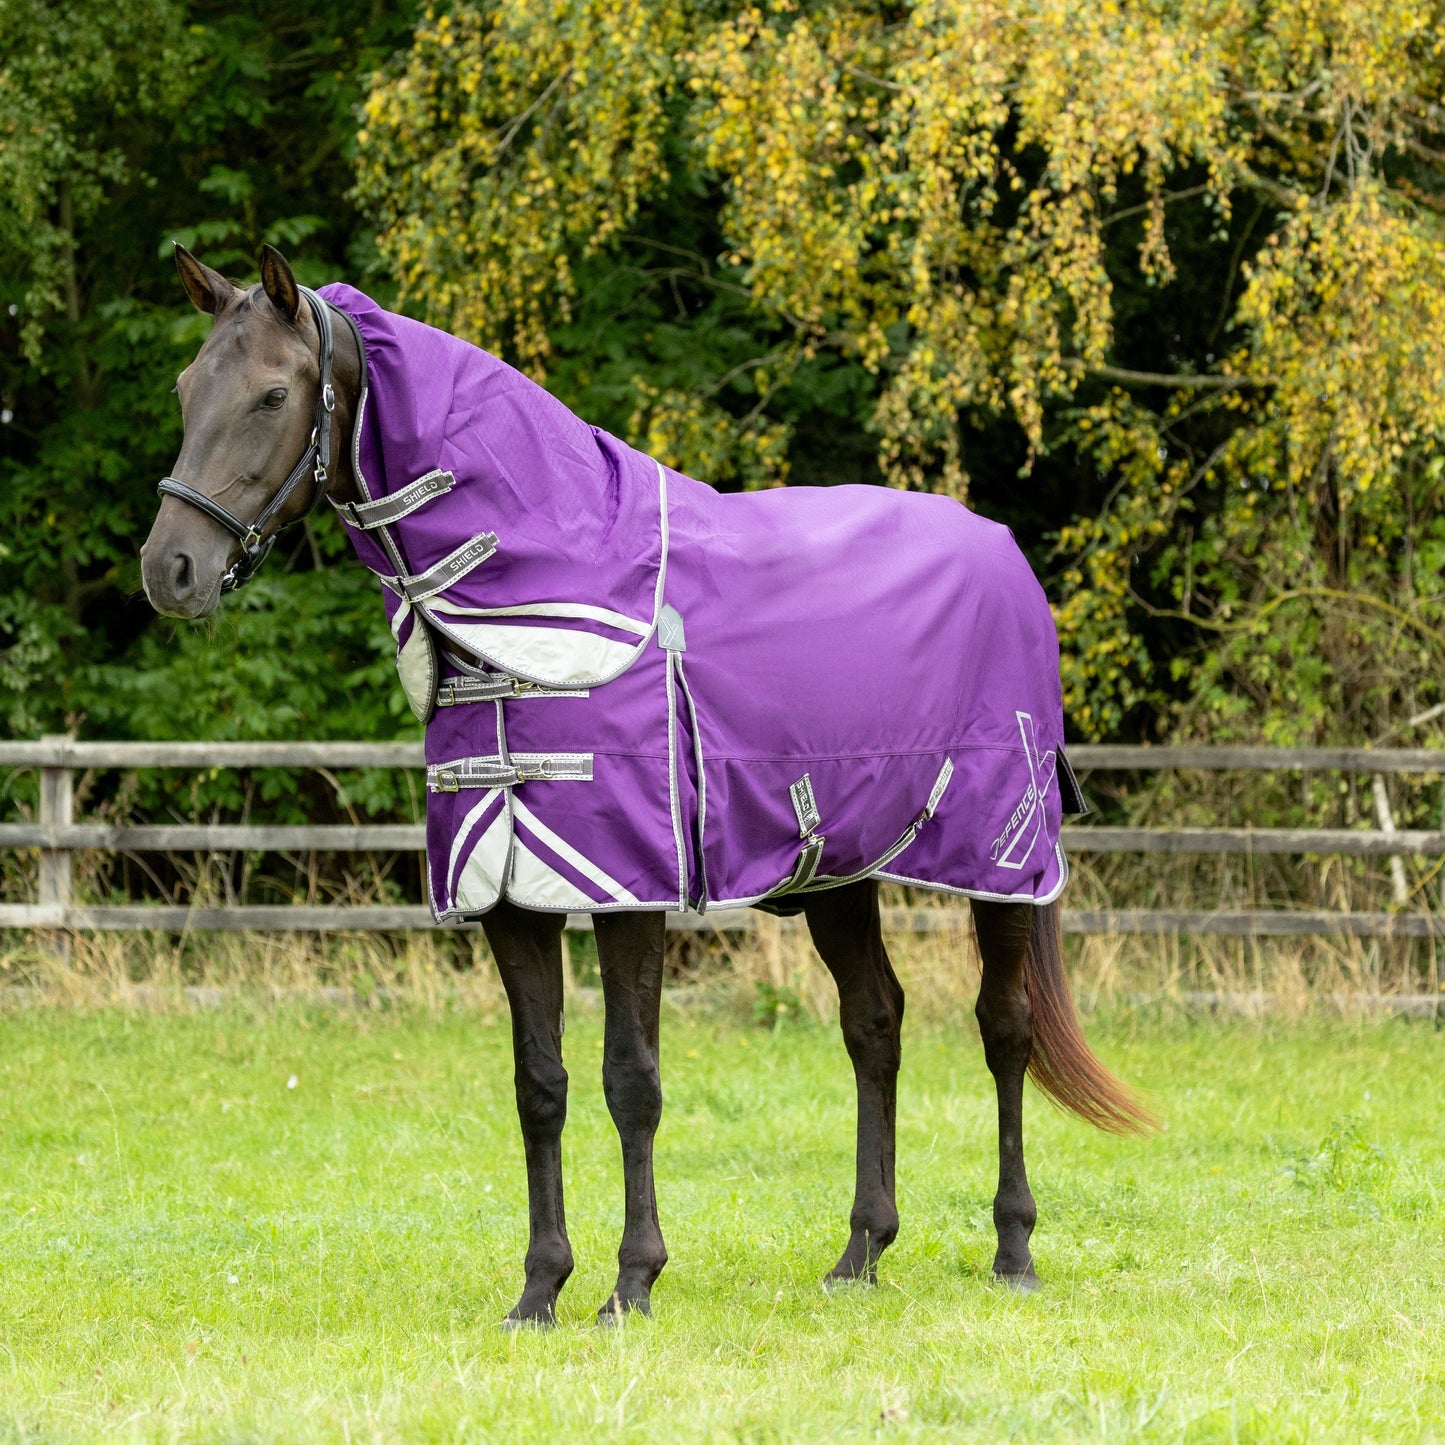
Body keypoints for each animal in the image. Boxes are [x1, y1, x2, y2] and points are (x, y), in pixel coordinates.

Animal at [141, 243, 1152, 1328]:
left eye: (272, 393)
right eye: (186, 388)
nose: (171, 569)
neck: (549, 595)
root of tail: (1003, 553)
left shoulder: (630, 890)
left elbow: (631, 1078)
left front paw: (631, 1281)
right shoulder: (509, 894)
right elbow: (538, 1083)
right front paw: (539, 1286)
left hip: (1001, 862)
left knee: (1004, 1030)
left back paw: (1012, 1245)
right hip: (837, 870)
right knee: (873, 1024)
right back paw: (858, 1253)